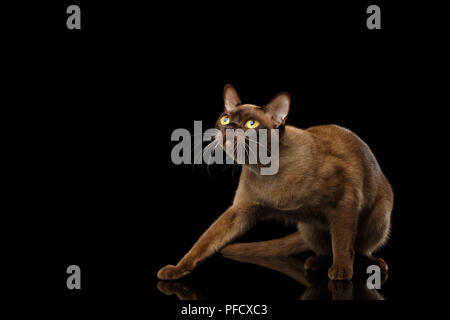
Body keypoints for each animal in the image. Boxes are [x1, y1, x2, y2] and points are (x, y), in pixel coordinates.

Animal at [157, 84, 390, 280]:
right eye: (224, 119)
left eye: (251, 123)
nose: (230, 127)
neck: (265, 170)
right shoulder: (240, 210)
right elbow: (205, 241)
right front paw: (177, 269)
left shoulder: (344, 202)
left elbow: (342, 243)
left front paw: (341, 271)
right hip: (310, 228)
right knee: (324, 249)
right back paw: (314, 262)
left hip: (378, 219)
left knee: (359, 249)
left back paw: (371, 263)